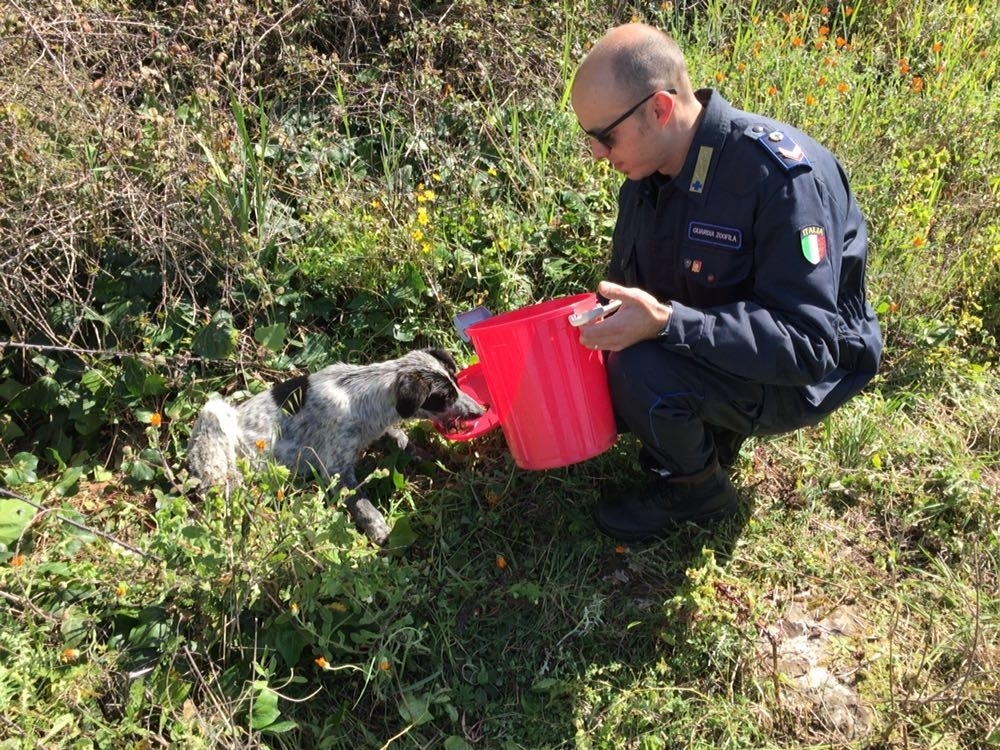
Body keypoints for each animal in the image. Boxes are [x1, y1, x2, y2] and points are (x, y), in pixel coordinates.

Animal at [189, 346, 486, 548]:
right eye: (445, 398)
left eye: (457, 385)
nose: (480, 411)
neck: (361, 394)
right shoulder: (335, 470)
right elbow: (362, 503)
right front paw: (380, 529)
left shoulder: (376, 430)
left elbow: (400, 439)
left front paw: (424, 456)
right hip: (214, 418)